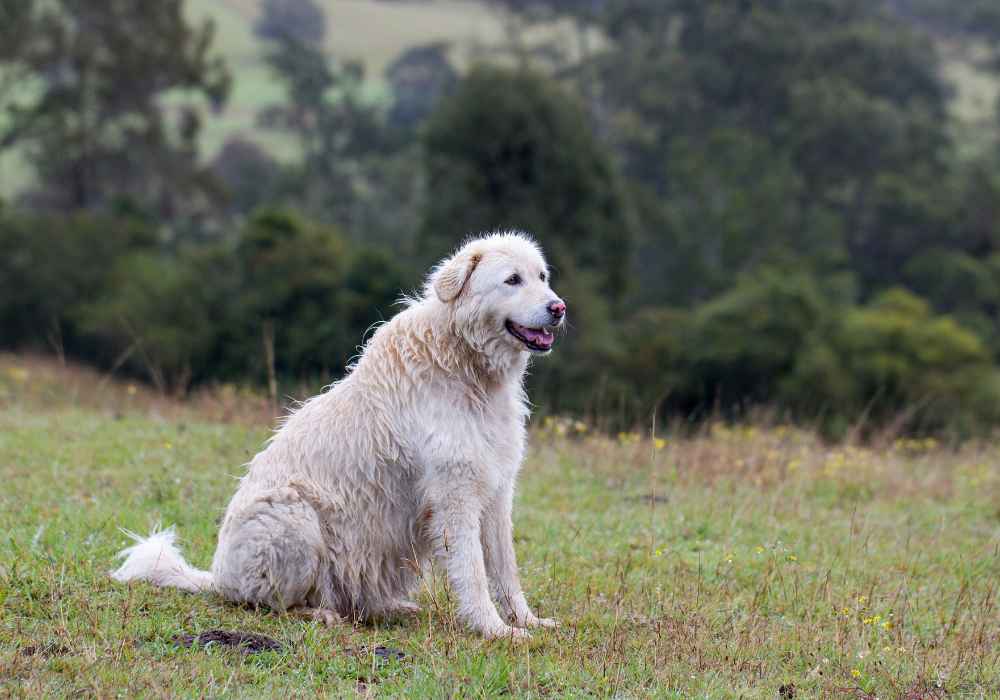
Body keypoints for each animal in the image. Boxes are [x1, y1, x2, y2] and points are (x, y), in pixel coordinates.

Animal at [113, 231, 568, 640]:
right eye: (512, 280)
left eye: (542, 276)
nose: (559, 307)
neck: (466, 364)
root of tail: (218, 577)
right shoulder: (455, 496)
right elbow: (473, 571)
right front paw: (494, 630)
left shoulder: (496, 491)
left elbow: (505, 569)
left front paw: (527, 621)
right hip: (295, 517)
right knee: (270, 603)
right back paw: (320, 615)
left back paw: (390, 608)